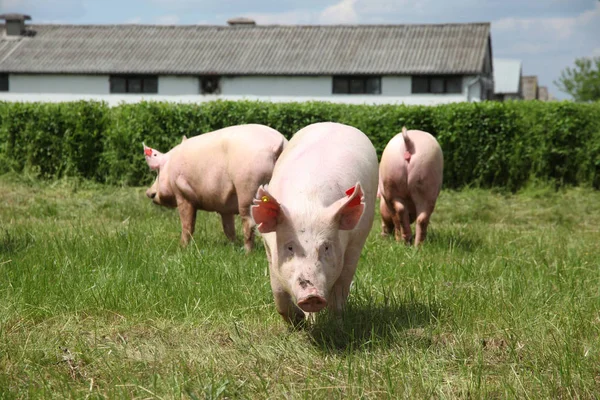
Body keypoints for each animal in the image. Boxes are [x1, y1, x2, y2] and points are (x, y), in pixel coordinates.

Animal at [144, 123, 288, 252]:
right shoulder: (224, 206)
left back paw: (247, 253)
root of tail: (278, 144)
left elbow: (187, 225)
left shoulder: (182, 194)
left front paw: (182, 248)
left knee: (249, 222)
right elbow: (228, 228)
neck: (171, 167)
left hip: (248, 186)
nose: (148, 193)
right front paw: (233, 246)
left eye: (158, 171)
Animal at [251, 122, 378, 324]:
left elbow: (340, 288)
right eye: (290, 247)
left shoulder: (353, 243)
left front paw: (335, 323)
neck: (308, 205)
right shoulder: (268, 245)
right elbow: (277, 290)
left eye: (326, 247)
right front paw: (298, 322)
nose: (312, 296)